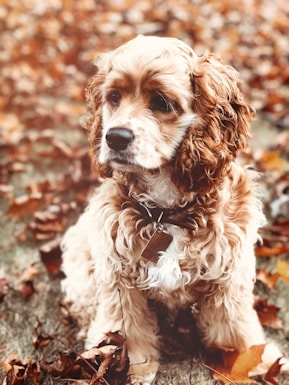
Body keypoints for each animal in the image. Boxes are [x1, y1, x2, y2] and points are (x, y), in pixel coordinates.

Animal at [61, 35, 286, 380]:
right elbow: (126, 329)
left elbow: (234, 325)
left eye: (161, 103)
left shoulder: (228, 276)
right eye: (113, 98)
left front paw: (252, 358)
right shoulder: (119, 278)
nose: (114, 138)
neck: (165, 213)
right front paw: (132, 368)